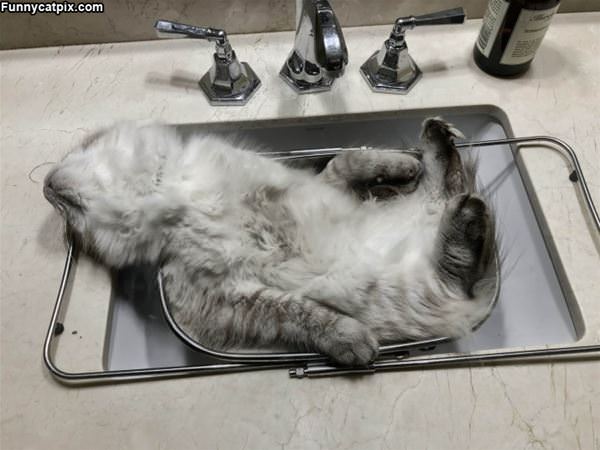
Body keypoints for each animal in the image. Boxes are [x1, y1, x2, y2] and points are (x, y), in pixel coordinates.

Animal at [44, 118, 496, 368]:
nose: (46, 189)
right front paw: (356, 345)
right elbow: (304, 315)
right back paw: (465, 207)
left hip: (426, 249)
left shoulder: (310, 183)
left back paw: (437, 142)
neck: (174, 197)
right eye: (74, 229)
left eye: (66, 214)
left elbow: (350, 159)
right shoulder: (226, 299)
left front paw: (401, 165)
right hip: (424, 280)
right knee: (458, 239)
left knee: (445, 190)